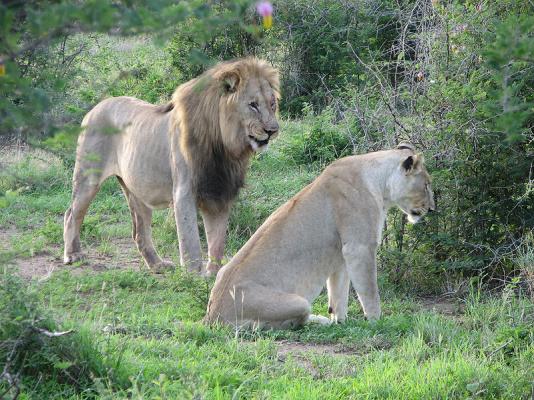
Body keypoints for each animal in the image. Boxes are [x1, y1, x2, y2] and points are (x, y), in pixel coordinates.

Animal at [63, 57, 280, 274]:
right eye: (253, 105)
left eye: (272, 103)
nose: (273, 130)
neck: (224, 147)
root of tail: (95, 108)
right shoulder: (183, 192)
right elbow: (190, 240)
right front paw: (193, 276)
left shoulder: (219, 192)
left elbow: (217, 242)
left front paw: (214, 274)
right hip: (88, 177)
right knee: (71, 214)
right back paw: (73, 255)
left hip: (136, 189)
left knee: (140, 232)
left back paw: (157, 264)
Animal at [205, 144, 436, 328]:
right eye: (426, 184)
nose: (432, 209)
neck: (379, 183)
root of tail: (211, 318)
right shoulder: (359, 247)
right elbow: (370, 290)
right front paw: (376, 321)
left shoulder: (342, 255)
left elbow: (339, 292)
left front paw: (340, 321)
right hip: (299, 302)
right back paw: (319, 321)